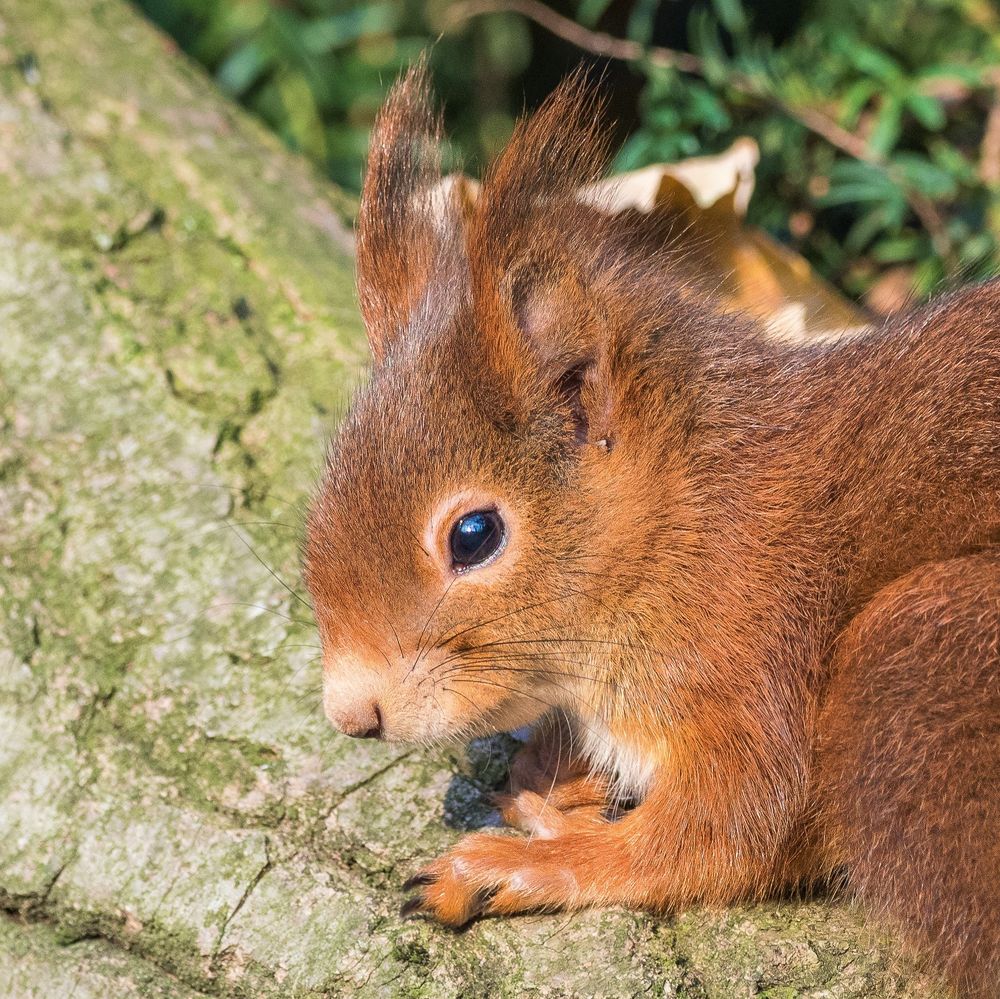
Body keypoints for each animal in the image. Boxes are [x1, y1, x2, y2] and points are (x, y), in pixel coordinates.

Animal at [304, 66, 1000, 996]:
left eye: (474, 534)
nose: (353, 714)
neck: (682, 524)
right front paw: (554, 780)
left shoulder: (753, 660)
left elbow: (728, 830)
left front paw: (518, 863)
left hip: (911, 657)